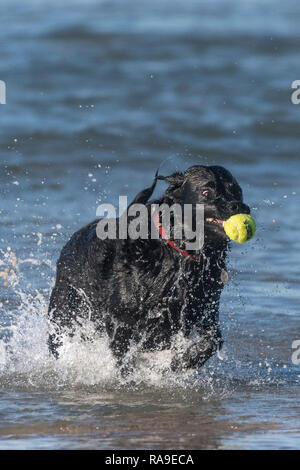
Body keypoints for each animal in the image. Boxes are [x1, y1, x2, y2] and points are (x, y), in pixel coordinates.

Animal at [48, 165, 250, 370]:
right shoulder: (121, 318)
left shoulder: (204, 310)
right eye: (206, 192)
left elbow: (213, 340)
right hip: (65, 313)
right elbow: (123, 355)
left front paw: (181, 362)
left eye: (237, 191)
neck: (179, 252)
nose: (239, 207)